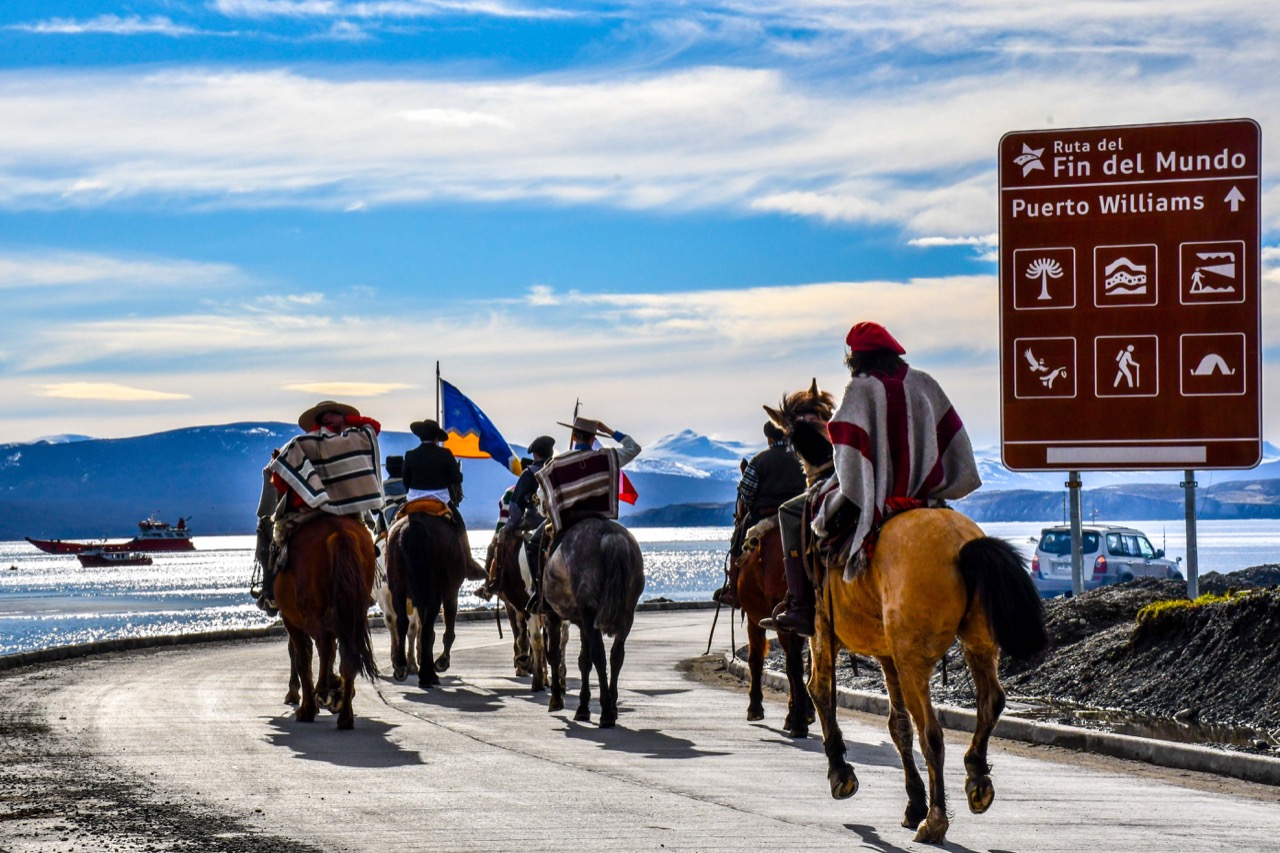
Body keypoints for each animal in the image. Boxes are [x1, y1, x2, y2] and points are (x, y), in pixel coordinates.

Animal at [275, 507, 378, 727]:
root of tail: (340, 533)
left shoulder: (292, 620)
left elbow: (302, 658)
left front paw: (307, 708)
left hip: (315, 613)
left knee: (323, 643)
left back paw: (323, 690)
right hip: (350, 612)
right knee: (346, 656)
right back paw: (344, 713)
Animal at [540, 514, 645, 727]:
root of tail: (611, 536)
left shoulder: (553, 617)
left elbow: (555, 655)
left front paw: (556, 699)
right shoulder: (582, 623)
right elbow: (584, 661)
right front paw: (583, 707)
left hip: (589, 613)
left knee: (600, 655)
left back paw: (606, 713)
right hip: (626, 613)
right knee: (616, 656)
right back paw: (612, 706)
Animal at [768, 384, 1049, 845]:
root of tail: (961, 545)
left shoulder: (823, 632)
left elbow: (821, 691)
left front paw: (841, 774)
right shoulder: (887, 657)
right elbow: (896, 725)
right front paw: (912, 800)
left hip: (915, 659)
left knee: (932, 732)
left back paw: (935, 819)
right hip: (974, 642)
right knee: (990, 701)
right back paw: (975, 780)